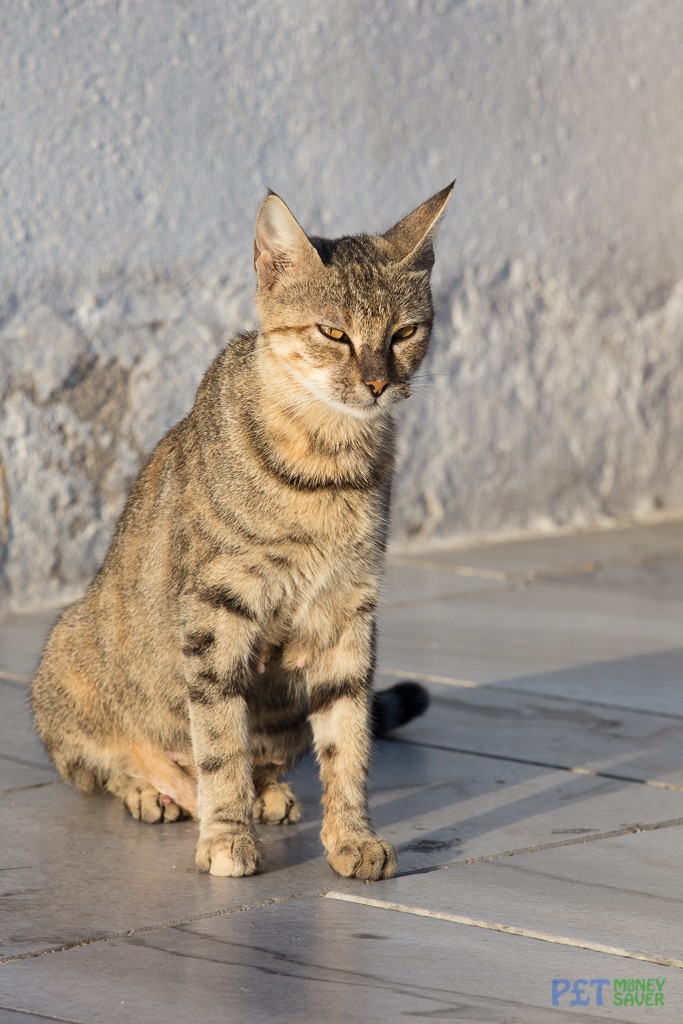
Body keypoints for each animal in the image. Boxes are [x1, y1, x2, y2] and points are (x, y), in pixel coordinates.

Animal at [30, 184, 454, 880]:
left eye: (403, 333)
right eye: (333, 332)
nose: (377, 382)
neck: (329, 464)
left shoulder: (349, 613)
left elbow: (348, 743)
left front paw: (351, 836)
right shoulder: (216, 611)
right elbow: (220, 738)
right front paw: (226, 835)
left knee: (274, 755)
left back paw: (268, 794)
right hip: (68, 660)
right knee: (104, 763)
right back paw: (158, 789)